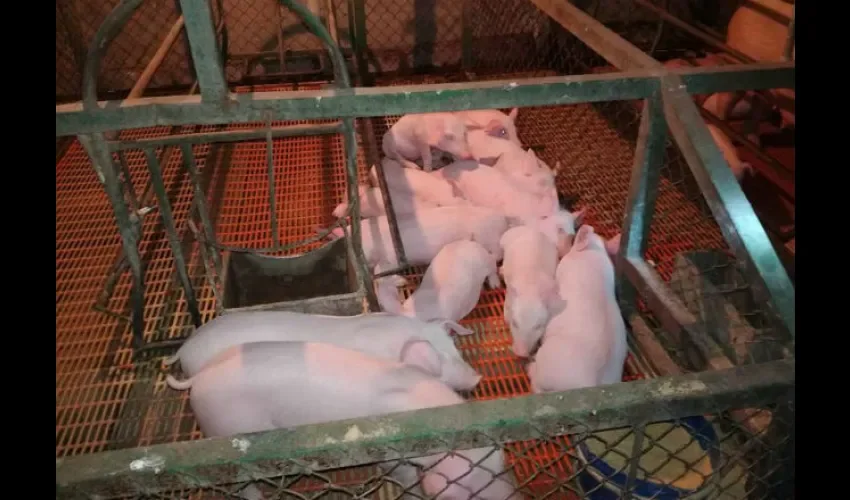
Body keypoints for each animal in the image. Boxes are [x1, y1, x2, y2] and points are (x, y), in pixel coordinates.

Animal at [166, 342, 516, 500]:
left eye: (502, 464)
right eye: (474, 487)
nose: (514, 494)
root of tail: (197, 379)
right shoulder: (391, 455)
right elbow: (402, 475)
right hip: (226, 428)